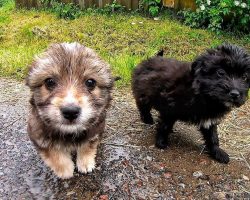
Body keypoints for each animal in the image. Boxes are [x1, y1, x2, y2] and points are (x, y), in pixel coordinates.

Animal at [25, 42, 113, 178]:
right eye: (49, 82)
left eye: (90, 82)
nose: (70, 112)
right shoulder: (38, 134)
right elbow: (53, 152)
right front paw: (65, 169)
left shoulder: (95, 129)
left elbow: (87, 145)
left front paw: (85, 163)